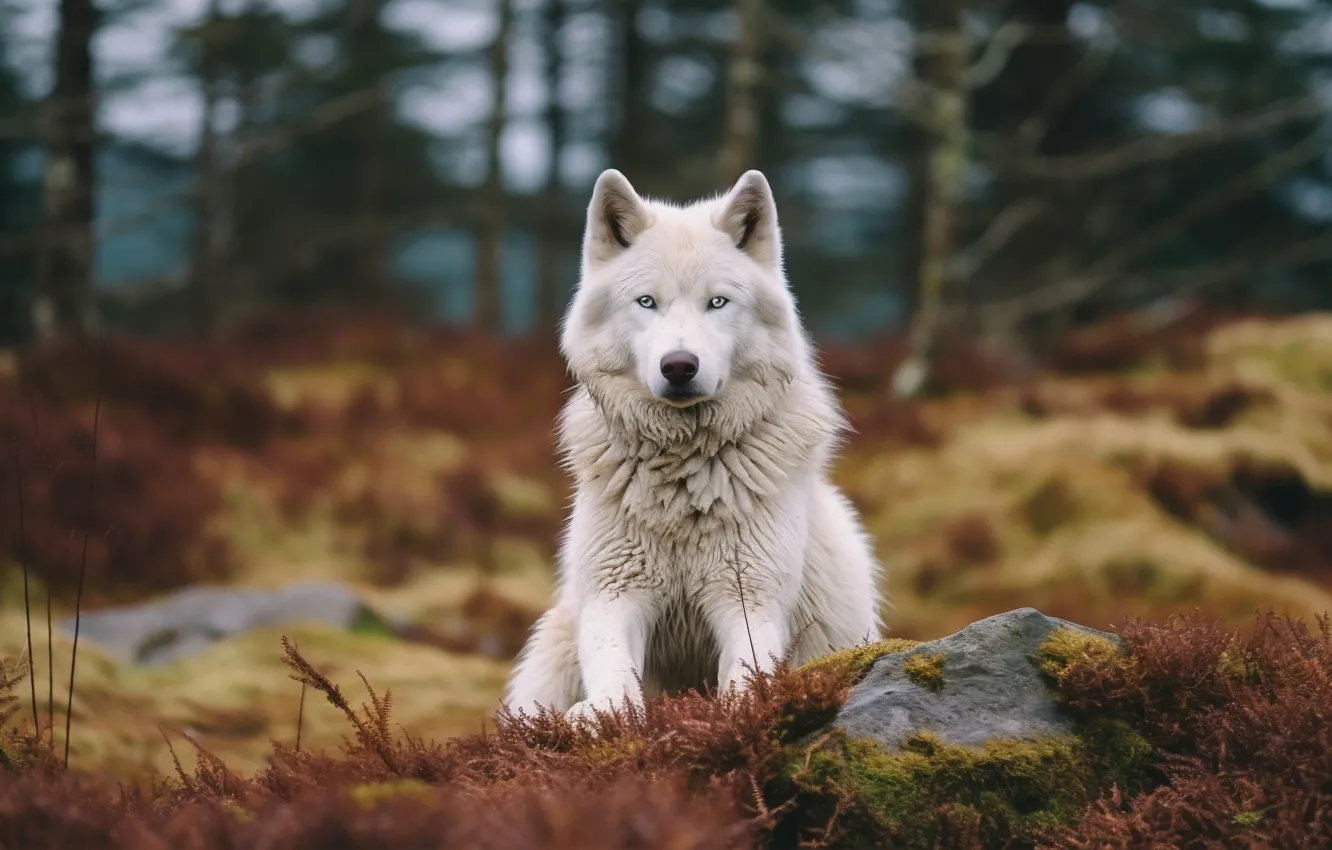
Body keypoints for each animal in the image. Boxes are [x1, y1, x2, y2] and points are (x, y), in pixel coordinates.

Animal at [504, 168, 886, 724]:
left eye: (717, 302)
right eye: (647, 302)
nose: (679, 366)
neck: (682, 474)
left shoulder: (748, 598)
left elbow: (746, 678)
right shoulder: (614, 595)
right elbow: (616, 675)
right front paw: (601, 718)